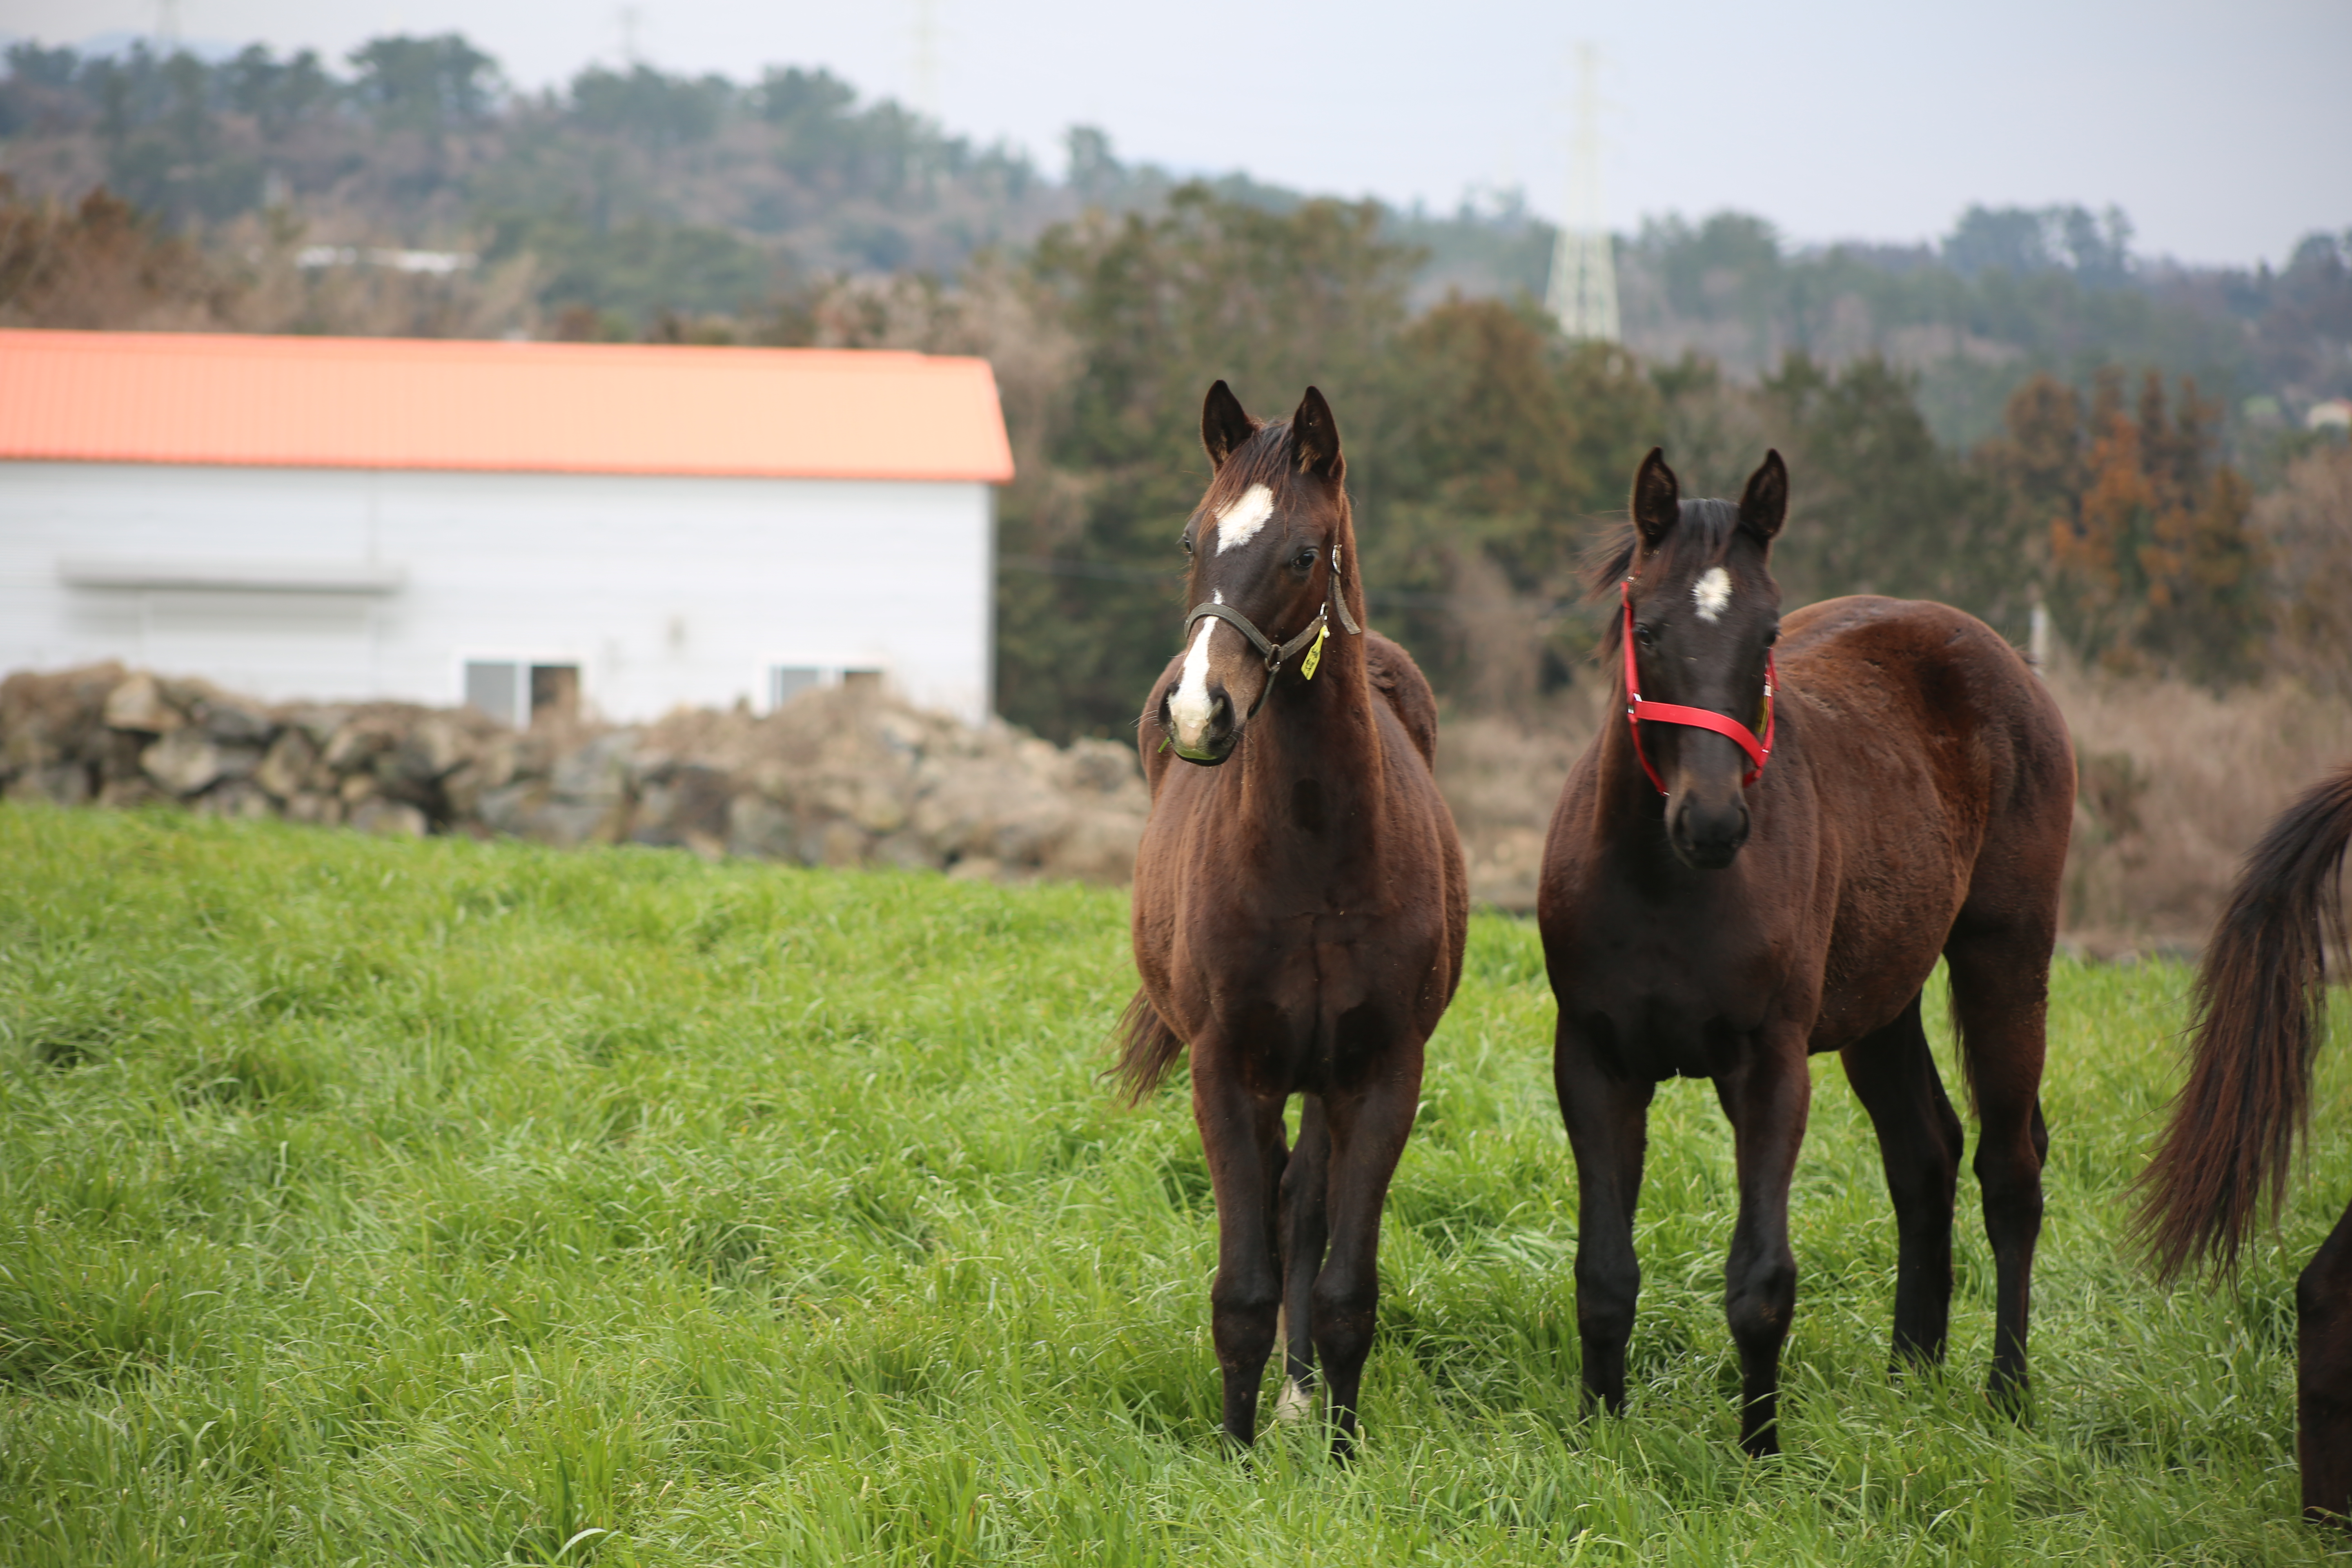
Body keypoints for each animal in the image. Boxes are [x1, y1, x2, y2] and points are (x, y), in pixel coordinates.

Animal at [1119, 381, 1468, 1457]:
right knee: (1276, 1210)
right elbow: (1241, 1285)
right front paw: (1233, 1456)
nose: (1200, 713)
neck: (1315, 858)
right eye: (1192, 540)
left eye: (1304, 554)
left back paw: (1300, 1392)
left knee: (1303, 1207)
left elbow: (1345, 1279)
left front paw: (1342, 1447)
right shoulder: (1226, 1067)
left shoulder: (1383, 1071)